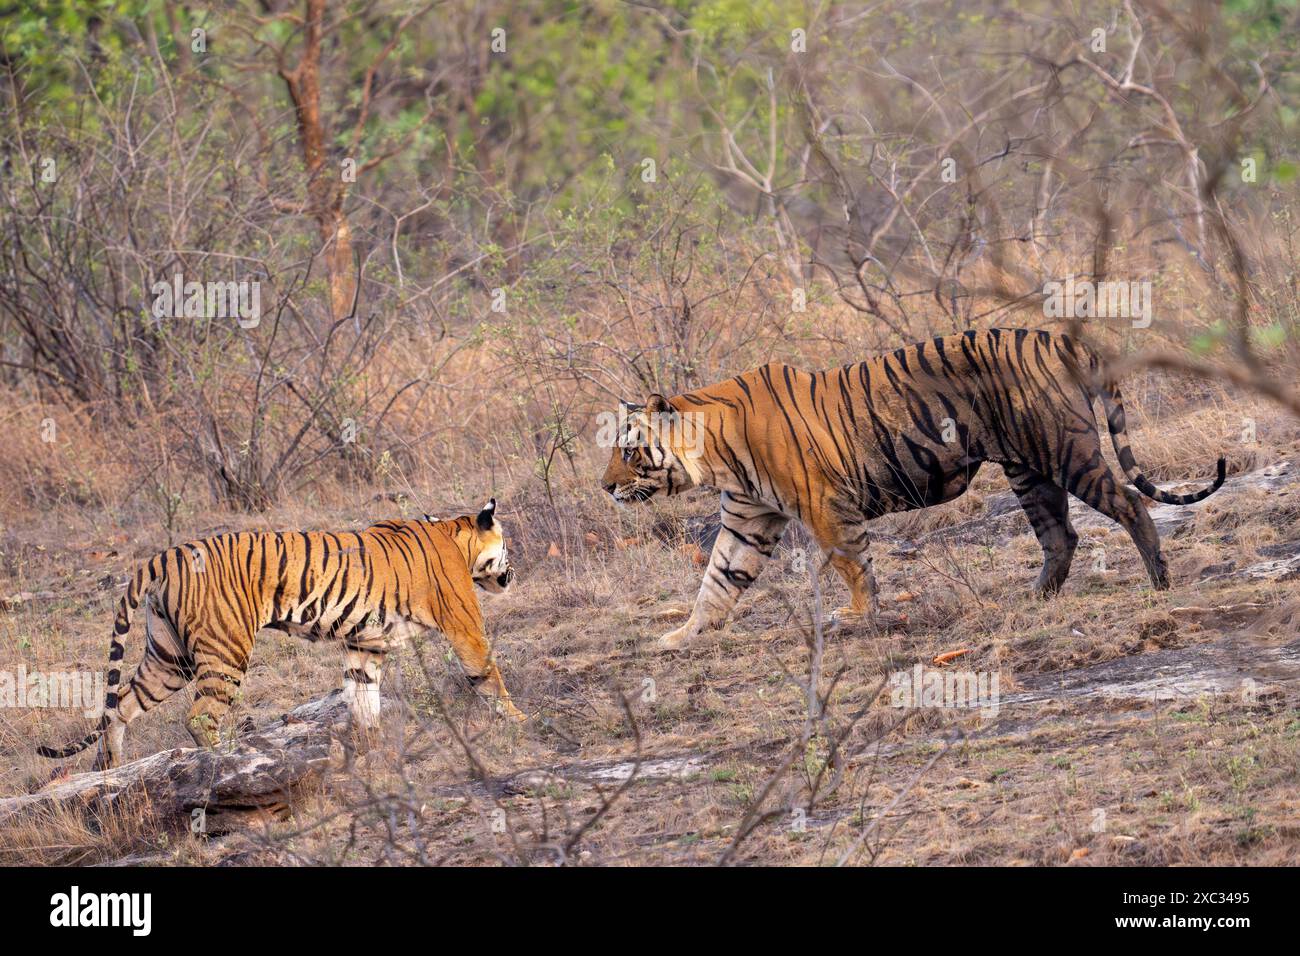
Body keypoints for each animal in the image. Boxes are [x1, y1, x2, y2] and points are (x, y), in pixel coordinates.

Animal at [41, 502, 527, 770]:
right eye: (507, 544)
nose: (512, 570)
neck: (454, 536)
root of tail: (166, 554)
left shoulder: (363, 646)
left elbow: (363, 698)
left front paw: (372, 749)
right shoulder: (464, 623)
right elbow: (488, 673)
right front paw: (519, 721)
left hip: (168, 659)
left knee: (120, 706)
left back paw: (109, 772)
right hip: (226, 651)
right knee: (199, 716)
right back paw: (226, 761)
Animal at [603, 329, 1222, 650]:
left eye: (629, 451)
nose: (605, 487)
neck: (714, 455)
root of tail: (1055, 336)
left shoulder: (824, 505)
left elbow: (851, 562)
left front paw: (858, 615)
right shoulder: (747, 519)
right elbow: (718, 580)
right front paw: (682, 636)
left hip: (1064, 449)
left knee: (1129, 502)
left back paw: (1159, 581)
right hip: (1027, 470)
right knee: (1060, 535)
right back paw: (1036, 597)